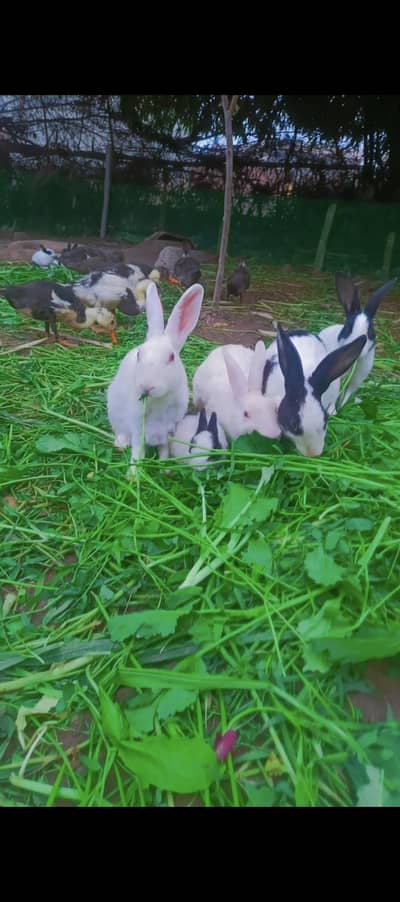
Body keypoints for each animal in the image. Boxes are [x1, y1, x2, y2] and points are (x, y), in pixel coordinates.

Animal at [107, 282, 204, 475]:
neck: (159, 400)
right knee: (120, 430)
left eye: (171, 357)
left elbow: (164, 448)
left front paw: (164, 467)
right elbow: (138, 449)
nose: (146, 386)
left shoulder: (170, 427)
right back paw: (120, 444)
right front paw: (133, 475)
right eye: (139, 354)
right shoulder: (138, 424)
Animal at [319, 272, 397, 410]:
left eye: (371, 331)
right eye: (348, 328)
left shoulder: (356, 381)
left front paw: (342, 408)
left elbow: (346, 396)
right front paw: (334, 411)